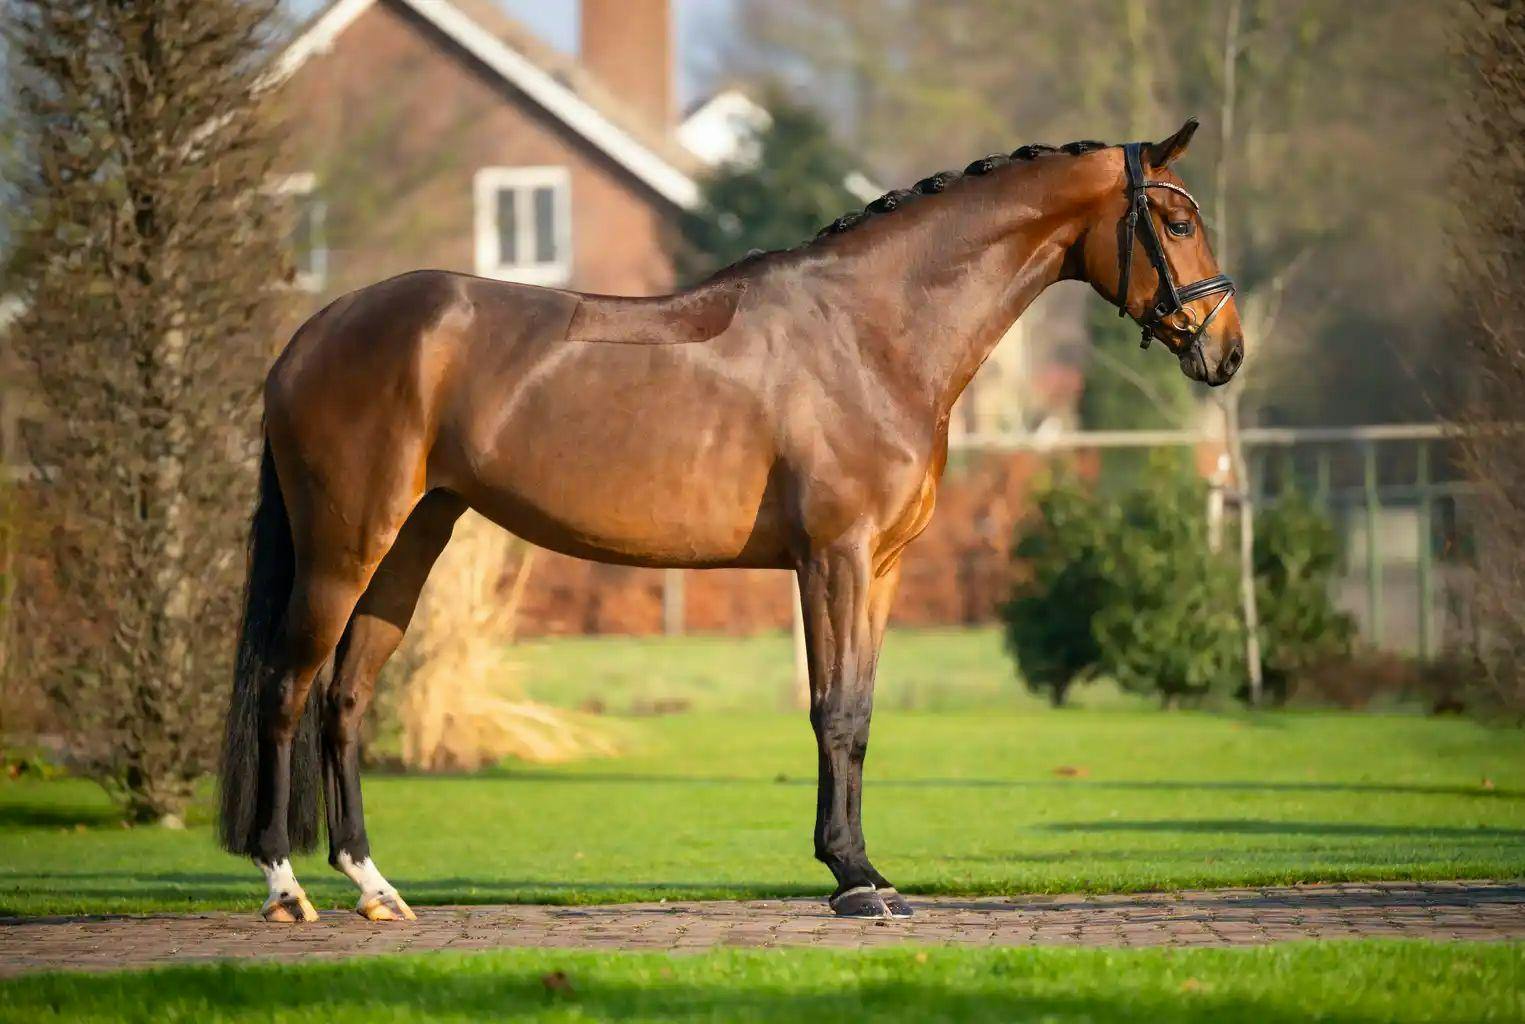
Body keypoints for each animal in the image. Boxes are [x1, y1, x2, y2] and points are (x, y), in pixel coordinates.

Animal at [219, 117, 1242, 923]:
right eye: (1178, 221)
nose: (1226, 352)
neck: (870, 331)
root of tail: (309, 337)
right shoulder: (833, 559)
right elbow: (833, 713)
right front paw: (852, 878)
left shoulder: (882, 568)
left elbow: (861, 710)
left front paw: (865, 869)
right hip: (343, 548)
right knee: (285, 687)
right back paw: (284, 887)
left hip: (410, 541)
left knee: (347, 697)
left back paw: (374, 887)